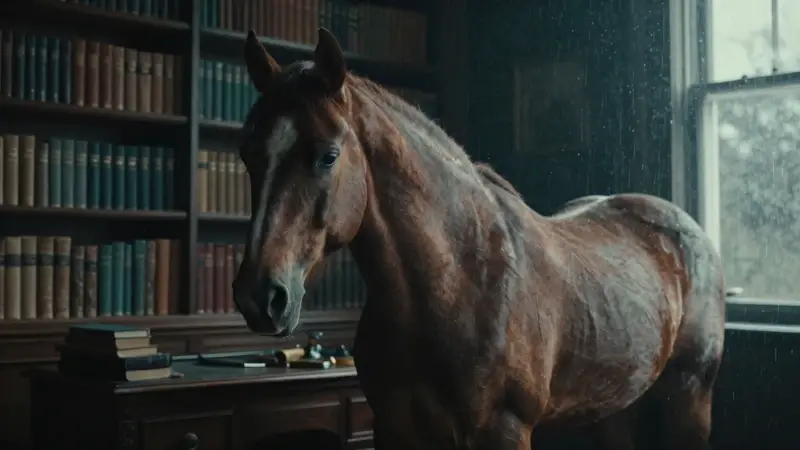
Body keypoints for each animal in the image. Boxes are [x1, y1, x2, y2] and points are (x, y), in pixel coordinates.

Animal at [232, 28, 726, 450]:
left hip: (690, 396)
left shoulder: (504, 431)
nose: (260, 296)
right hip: (613, 406)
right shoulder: (393, 430)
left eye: (329, 155)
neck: (458, 282)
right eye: (248, 154)